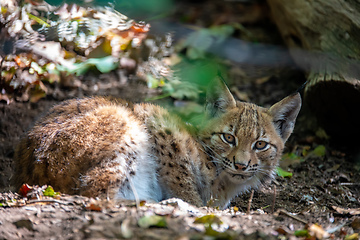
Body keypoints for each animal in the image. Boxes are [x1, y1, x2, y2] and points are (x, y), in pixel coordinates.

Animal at [14, 78, 300, 208]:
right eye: (228, 138)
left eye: (260, 145)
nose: (241, 165)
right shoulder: (157, 121)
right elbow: (181, 176)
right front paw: (194, 205)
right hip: (123, 119)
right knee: (96, 192)